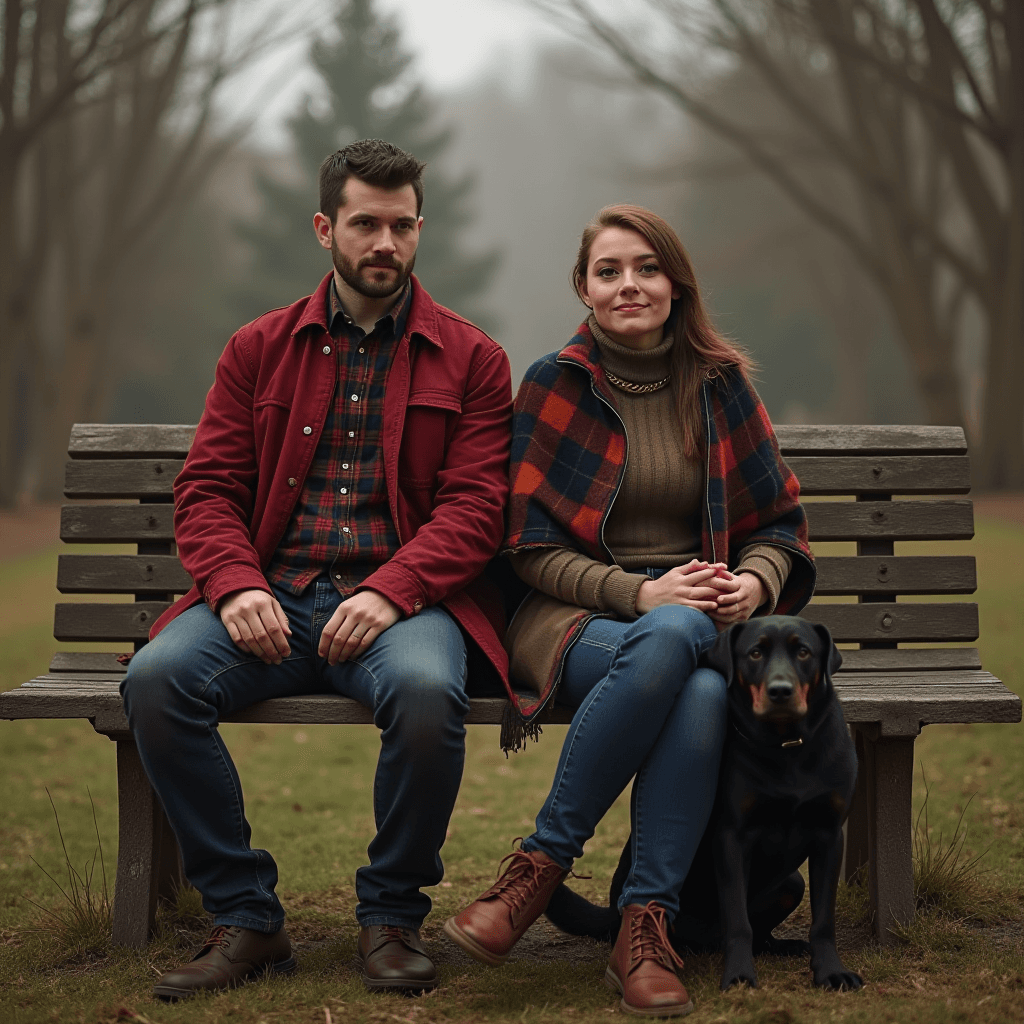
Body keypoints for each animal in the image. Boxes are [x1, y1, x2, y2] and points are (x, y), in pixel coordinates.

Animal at [544, 614, 864, 991]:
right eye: (755, 653)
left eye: (803, 652)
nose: (780, 691)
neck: (787, 747)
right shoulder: (733, 837)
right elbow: (738, 920)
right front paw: (739, 975)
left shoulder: (829, 834)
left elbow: (823, 919)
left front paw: (830, 971)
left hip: (791, 883)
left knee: (761, 934)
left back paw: (782, 946)